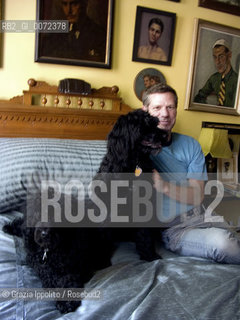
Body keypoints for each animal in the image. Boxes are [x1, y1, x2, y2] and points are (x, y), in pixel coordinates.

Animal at [3, 109, 167, 314]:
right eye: (145, 125)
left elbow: (144, 236)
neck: (132, 167)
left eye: (155, 122)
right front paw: (102, 260)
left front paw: (149, 255)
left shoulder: (143, 208)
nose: (165, 135)